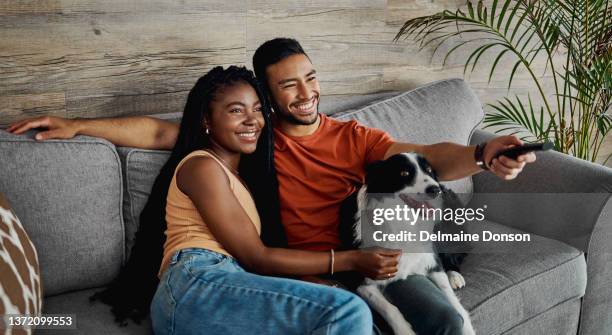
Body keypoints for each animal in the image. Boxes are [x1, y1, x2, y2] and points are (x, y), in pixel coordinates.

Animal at [338, 154, 476, 335]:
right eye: (404, 173)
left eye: (429, 170)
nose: (435, 189)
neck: (403, 221)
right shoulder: (361, 279)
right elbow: (389, 308)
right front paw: (405, 330)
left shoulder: (432, 261)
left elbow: (453, 301)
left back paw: (454, 275)